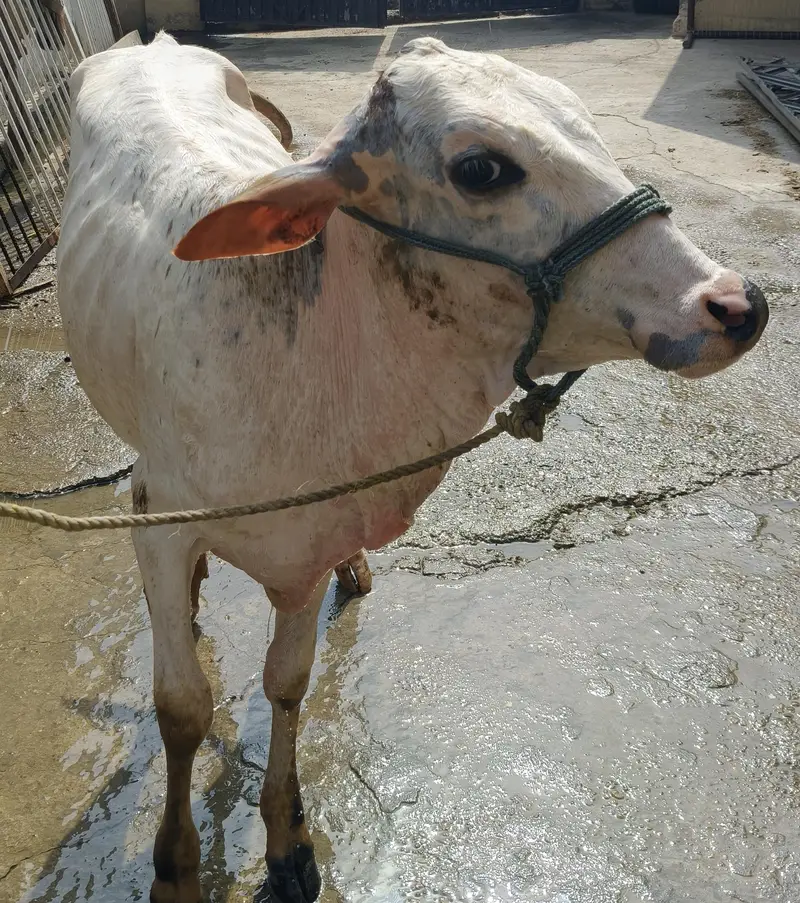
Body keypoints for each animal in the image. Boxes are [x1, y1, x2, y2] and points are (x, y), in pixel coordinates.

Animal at [57, 32, 768, 903]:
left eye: (579, 116)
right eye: (482, 169)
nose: (735, 303)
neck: (309, 365)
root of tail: (149, 41)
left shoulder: (315, 537)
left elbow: (286, 681)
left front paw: (288, 839)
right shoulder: (157, 516)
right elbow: (184, 707)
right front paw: (176, 865)